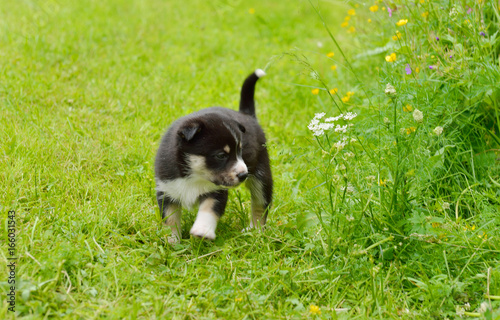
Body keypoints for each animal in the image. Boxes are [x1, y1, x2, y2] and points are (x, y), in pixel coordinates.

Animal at [155, 70, 274, 244]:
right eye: (220, 155)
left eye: (240, 150)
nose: (243, 175)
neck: (193, 175)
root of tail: (246, 115)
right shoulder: (166, 190)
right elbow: (170, 219)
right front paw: (171, 241)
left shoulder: (216, 191)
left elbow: (208, 209)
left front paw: (202, 231)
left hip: (261, 175)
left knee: (260, 205)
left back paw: (255, 231)